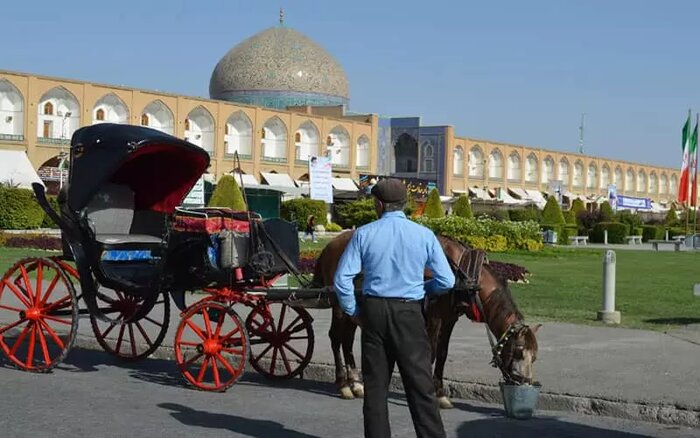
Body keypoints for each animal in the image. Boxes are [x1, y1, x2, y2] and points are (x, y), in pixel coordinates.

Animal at [312, 231, 540, 408]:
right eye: (519, 352)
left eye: (534, 357)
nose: (525, 383)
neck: (462, 274)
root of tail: (331, 245)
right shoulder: (434, 316)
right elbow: (430, 352)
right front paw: (428, 392)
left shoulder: (449, 320)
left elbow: (442, 353)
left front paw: (441, 394)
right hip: (339, 303)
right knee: (336, 338)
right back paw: (343, 384)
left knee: (347, 339)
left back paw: (356, 383)